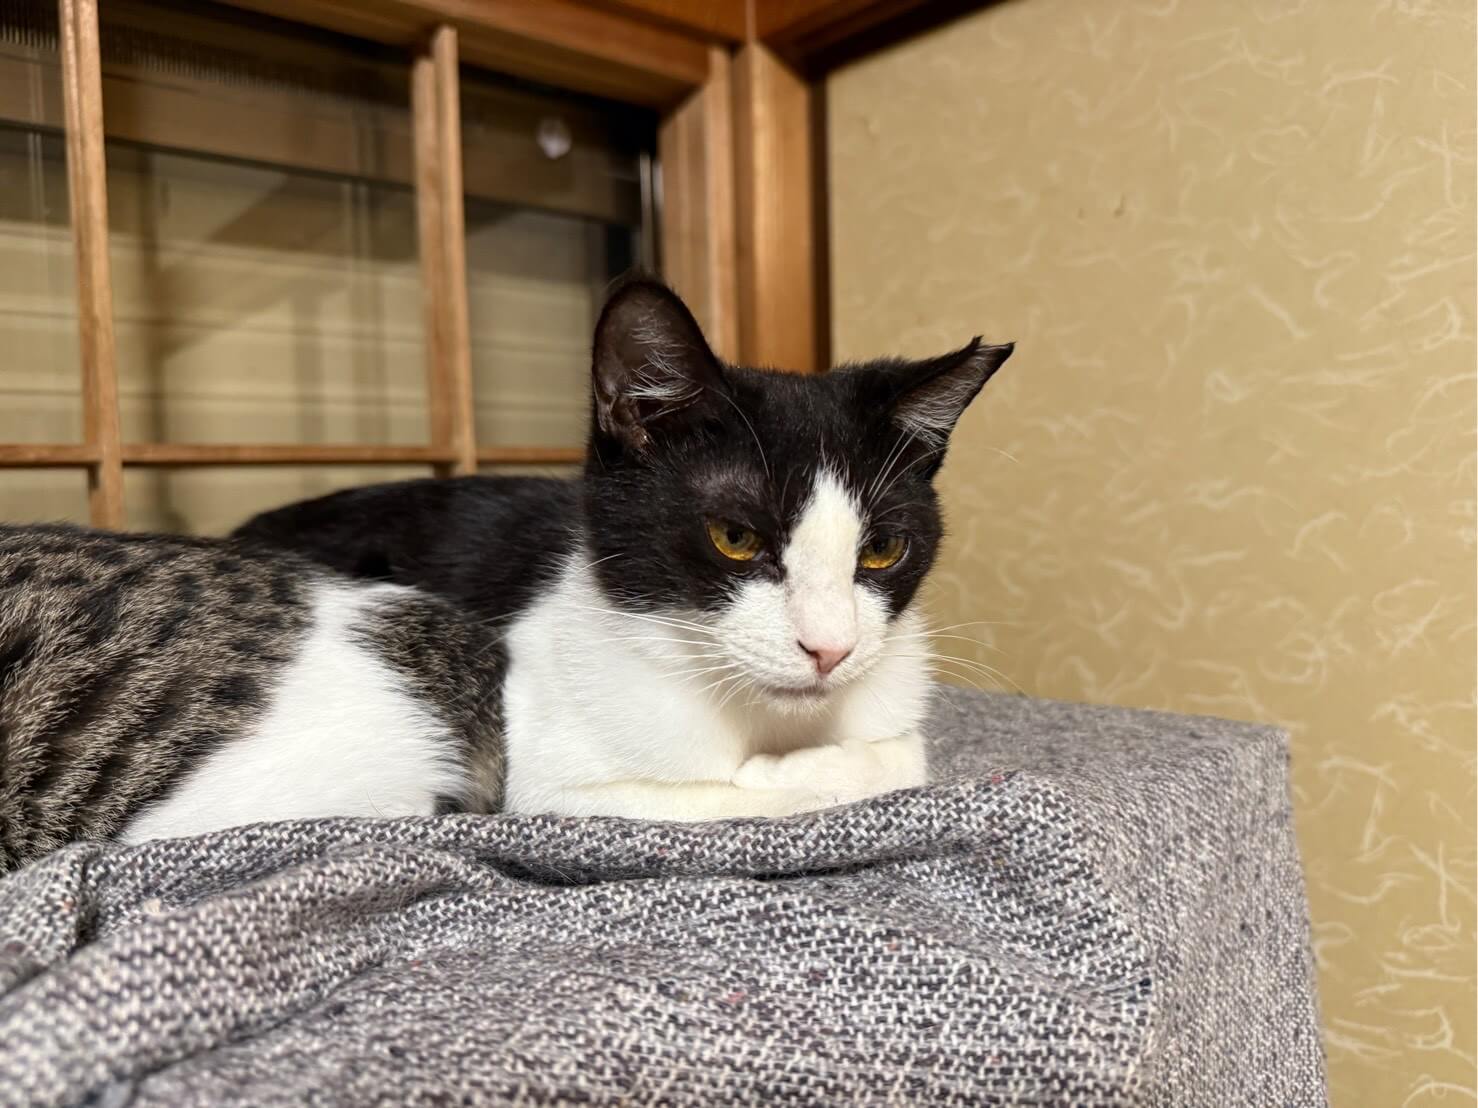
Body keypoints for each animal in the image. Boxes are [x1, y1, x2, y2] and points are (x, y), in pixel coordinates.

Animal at [236, 277, 1014, 822]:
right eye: (736, 537)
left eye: (882, 548)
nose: (830, 649)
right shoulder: (547, 778)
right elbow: (712, 796)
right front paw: (784, 776)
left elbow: (906, 752)